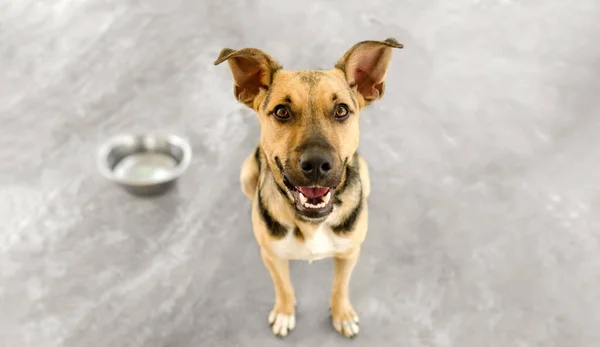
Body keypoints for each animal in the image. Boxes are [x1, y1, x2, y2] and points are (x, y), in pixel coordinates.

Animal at [214, 38, 404, 340]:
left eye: (341, 110)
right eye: (282, 111)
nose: (316, 164)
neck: (311, 222)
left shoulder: (350, 253)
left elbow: (341, 285)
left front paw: (342, 314)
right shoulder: (273, 257)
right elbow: (283, 286)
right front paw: (284, 312)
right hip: (246, 174)